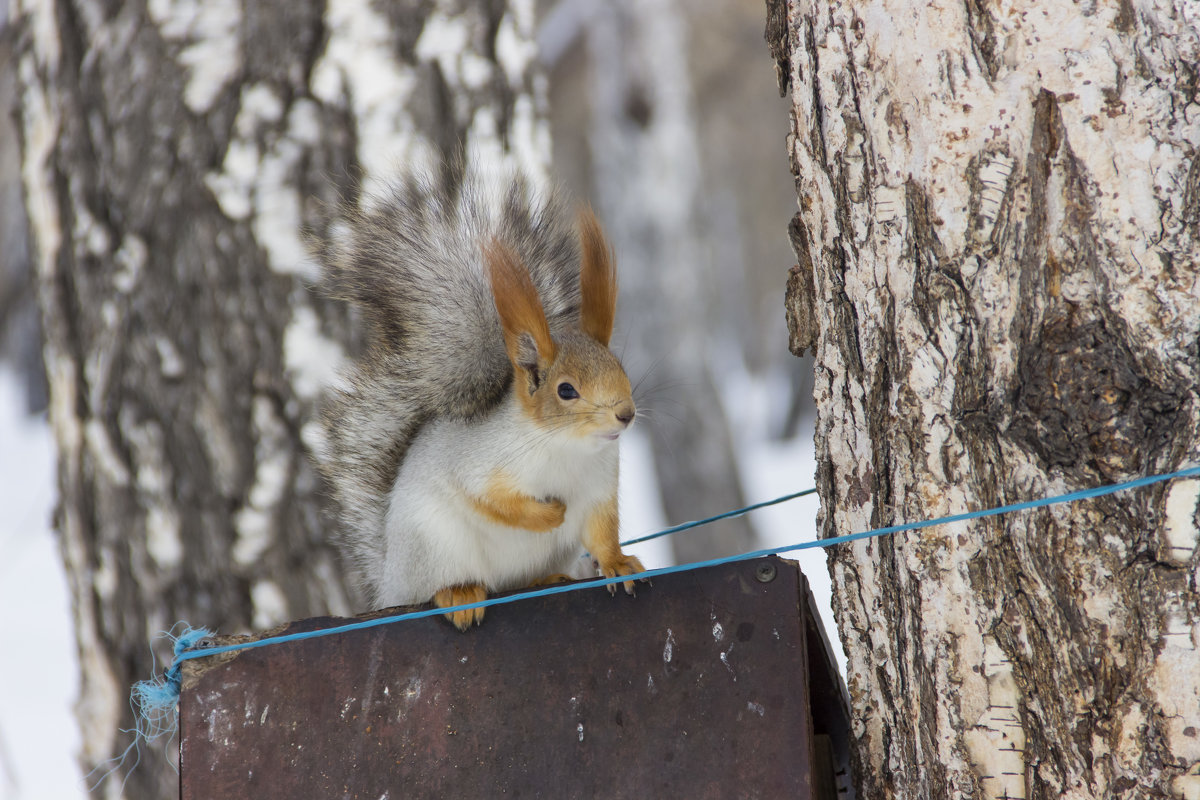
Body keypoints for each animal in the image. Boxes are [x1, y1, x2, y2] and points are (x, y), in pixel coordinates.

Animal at [314, 170, 643, 633]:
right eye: (566, 390)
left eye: (621, 368)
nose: (625, 414)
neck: (568, 447)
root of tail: (392, 582)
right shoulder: (480, 463)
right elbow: (491, 500)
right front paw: (551, 514)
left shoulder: (598, 489)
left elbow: (602, 534)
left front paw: (618, 564)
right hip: (436, 546)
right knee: (438, 586)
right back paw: (459, 594)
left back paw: (546, 579)